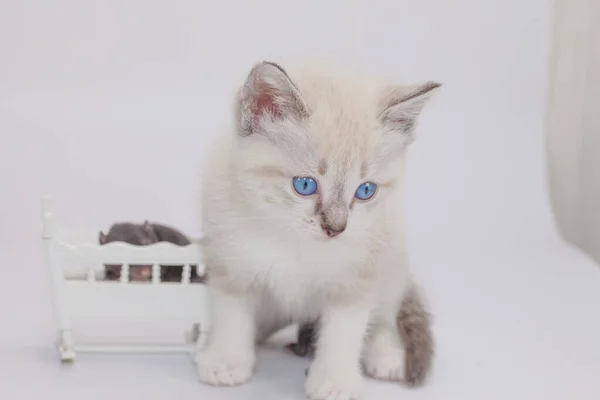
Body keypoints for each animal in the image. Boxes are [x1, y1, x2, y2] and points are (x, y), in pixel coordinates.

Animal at [197, 60, 440, 400]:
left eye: (365, 190)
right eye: (305, 185)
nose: (336, 228)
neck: (294, 240)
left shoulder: (357, 275)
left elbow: (345, 330)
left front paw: (334, 380)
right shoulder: (229, 260)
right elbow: (233, 314)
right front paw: (226, 360)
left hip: (392, 256)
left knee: (384, 314)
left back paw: (386, 355)